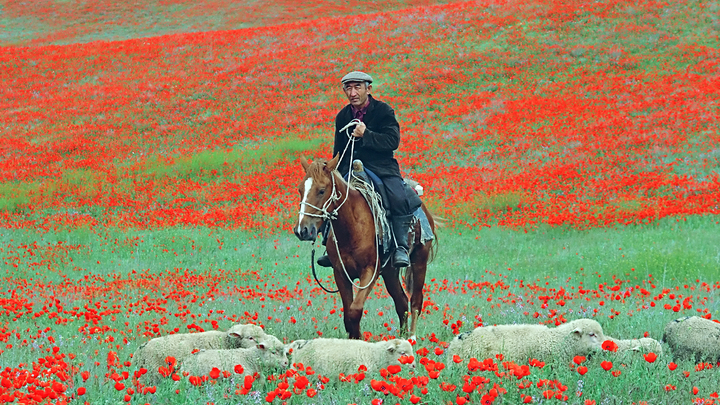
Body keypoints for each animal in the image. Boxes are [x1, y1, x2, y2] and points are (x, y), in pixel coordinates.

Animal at [294, 153, 438, 340]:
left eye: (321, 190)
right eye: (300, 190)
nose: (302, 230)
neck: (352, 226)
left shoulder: (370, 272)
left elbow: (355, 310)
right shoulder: (340, 273)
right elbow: (347, 315)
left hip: (419, 260)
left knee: (415, 300)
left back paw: (411, 337)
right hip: (390, 271)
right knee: (401, 301)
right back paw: (402, 337)